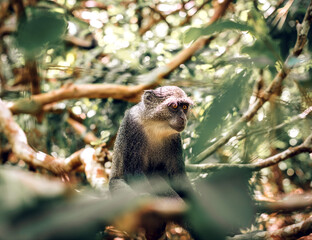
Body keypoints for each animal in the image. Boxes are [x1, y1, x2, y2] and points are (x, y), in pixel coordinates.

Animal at [108, 86, 194, 240]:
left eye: (184, 107)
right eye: (174, 106)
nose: (183, 118)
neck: (155, 125)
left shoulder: (174, 138)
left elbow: (178, 176)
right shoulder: (132, 126)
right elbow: (135, 173)